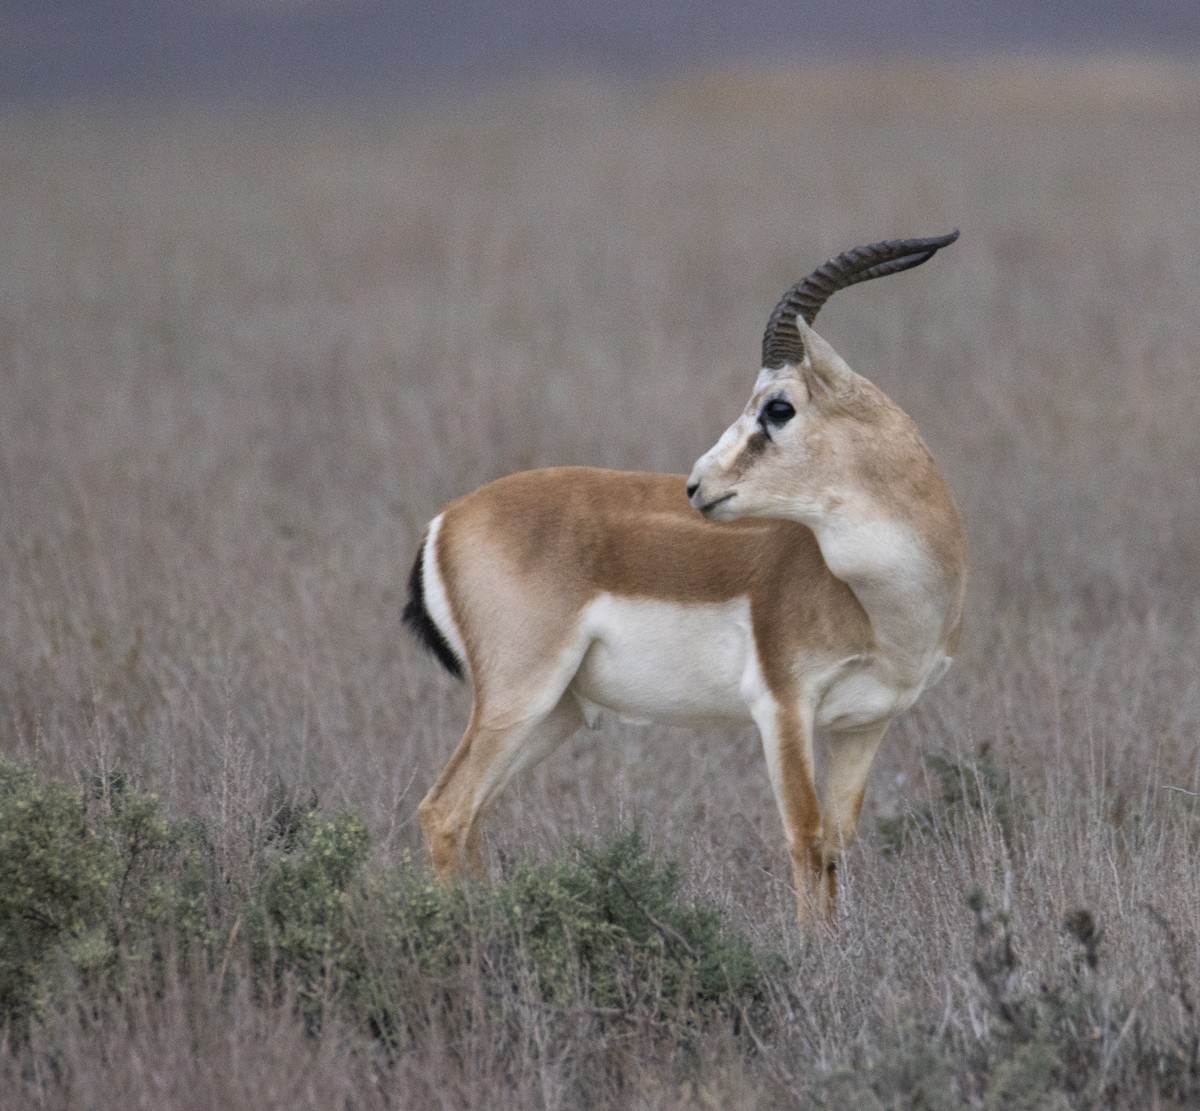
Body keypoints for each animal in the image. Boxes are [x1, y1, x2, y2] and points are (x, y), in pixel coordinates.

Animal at [405, 233, 967, 922]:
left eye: (779, 408)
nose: (697, 486)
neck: (882, 605)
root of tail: (448, 519)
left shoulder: (866, 723)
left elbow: (836, 845)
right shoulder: (782, 706)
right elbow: (805, 838)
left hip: (553, 714)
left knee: (472, 817)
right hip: (518, 698)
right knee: (444, 810)